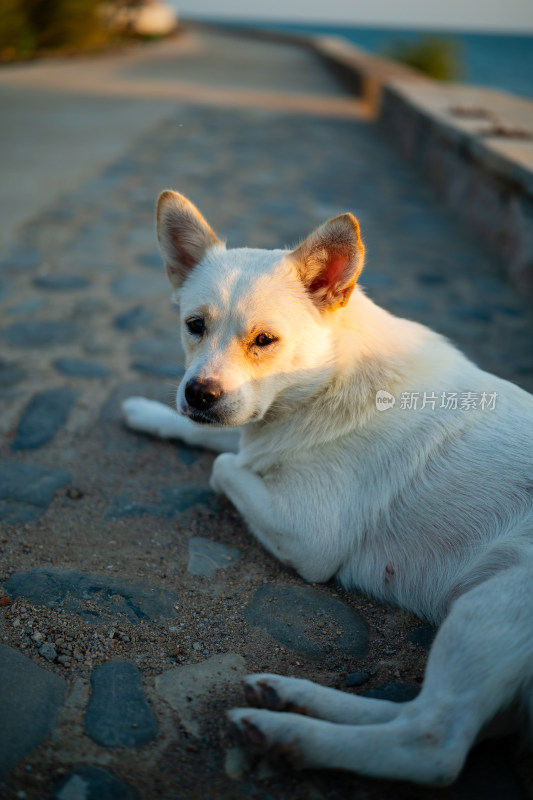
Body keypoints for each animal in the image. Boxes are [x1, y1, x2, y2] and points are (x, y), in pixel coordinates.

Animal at [122, 191, 532, 784]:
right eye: (194, 325)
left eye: (264, 340)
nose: (197, 394)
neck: (327, 381)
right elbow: (221, 439)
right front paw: (146, 412)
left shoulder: (312, 539)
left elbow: (225, 464)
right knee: (420, 715)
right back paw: (292, 697)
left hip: (489, 608)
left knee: (431, 741)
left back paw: (283, 732)